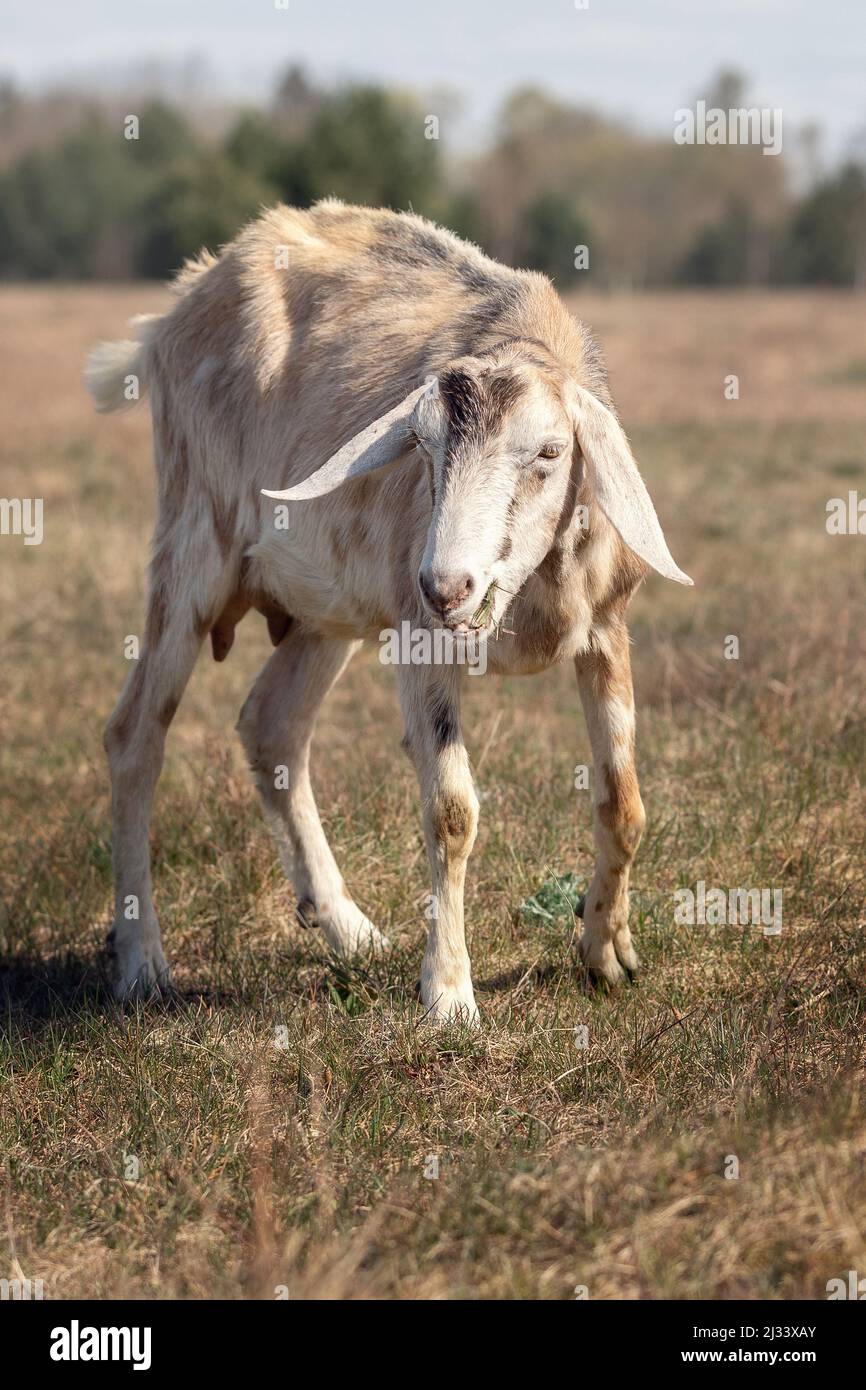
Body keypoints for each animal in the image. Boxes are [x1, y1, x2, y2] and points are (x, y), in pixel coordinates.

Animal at [88, 198, 692, 1023]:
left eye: (549, 453)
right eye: (422, 445)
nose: (449, 584)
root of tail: (168, 319)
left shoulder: (605, 627)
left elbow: (623, 802)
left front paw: (606, 952)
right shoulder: (420, 636)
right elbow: (452, 810)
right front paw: (449, 993)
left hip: (324, 607)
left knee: (272, 726)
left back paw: (351, 932)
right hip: (191, 546)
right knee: (135, 735)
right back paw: (142, 963)